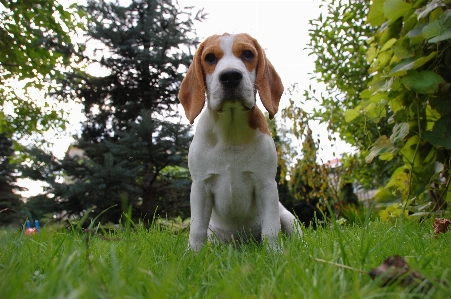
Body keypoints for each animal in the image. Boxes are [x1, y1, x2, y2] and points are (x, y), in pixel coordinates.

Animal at [178, 32, 302, 252]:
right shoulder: (200, 187)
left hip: (288, 218)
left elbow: (271, 230)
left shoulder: (265, 185)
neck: (231, 129)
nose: (230, 76)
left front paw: (274, 254)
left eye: (248, 54)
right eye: (210, 58)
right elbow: (196, 230)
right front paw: (193, 254)